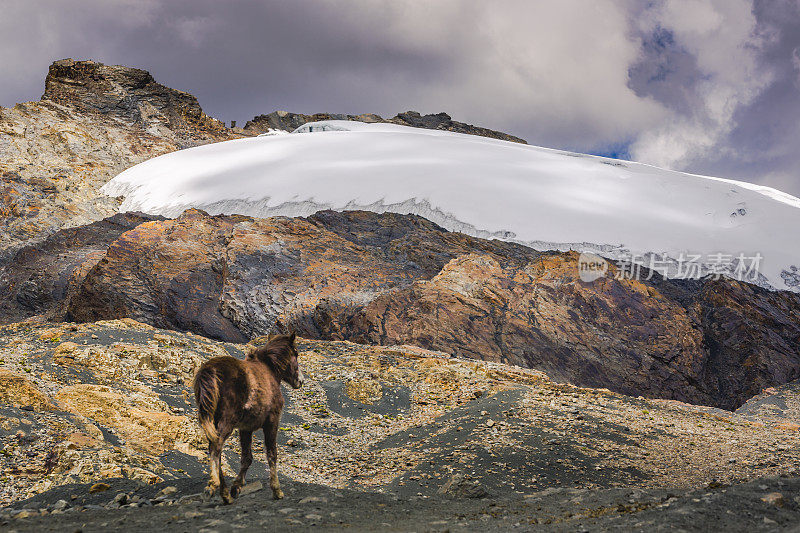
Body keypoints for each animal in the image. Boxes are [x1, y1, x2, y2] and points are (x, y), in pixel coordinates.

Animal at [193, 332, 304, 502]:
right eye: (296, 353)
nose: (300, 381)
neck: (270, 372)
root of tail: (210, 370)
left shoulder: (246, 428)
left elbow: (247, 457)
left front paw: (236, 487)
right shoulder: (272, 422)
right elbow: (272, 454)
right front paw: (277, 490)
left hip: (213, 420)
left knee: (215, 447)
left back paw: (225, 493)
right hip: (227, 421)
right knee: (216, 446)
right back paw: (213, 486)